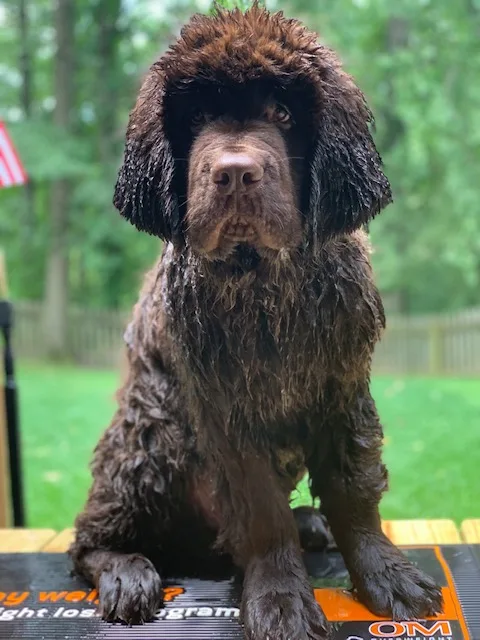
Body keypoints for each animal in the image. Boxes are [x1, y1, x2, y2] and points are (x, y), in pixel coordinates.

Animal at [71, 3, 442, 636]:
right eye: (198, 116)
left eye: (283, 113)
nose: (235, 173)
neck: (264, 283)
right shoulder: (226, 408)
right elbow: (260, 512)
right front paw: (281, 599)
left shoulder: (344, 384)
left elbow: (354, 489)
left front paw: (385, 575)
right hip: (150, 435)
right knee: (86, 540)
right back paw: (126, 571)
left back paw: (310, 524)